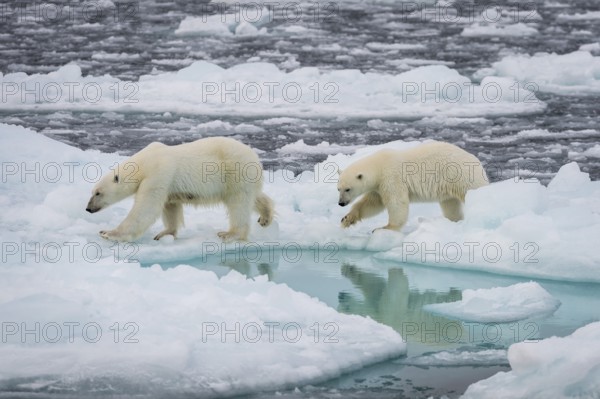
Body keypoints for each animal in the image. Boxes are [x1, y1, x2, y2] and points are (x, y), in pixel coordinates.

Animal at [86, 138, 274, 242]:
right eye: (92, 192)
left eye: (98, 193)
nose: (88, 208)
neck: (144, 162)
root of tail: (254, 156)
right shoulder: (167, 184)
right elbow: (170, 206)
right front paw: (164, 234)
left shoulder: (158, 173)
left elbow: (146, 208)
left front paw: (108, 233)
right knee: (253, 197)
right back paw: (265, 217)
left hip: (235, 171)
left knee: (238, 203)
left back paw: (230, 234)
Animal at [338, 142, 488, 231]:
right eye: (338, 189)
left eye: (348, 189)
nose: (341, 203)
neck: (379, 166)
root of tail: (477, 161)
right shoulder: (378, 186)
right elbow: (372, 203)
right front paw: (346, 219)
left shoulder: (391, 178)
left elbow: (396, 203)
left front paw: (385, 227)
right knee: (451, 205)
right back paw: (454, 221)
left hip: (462, 176)